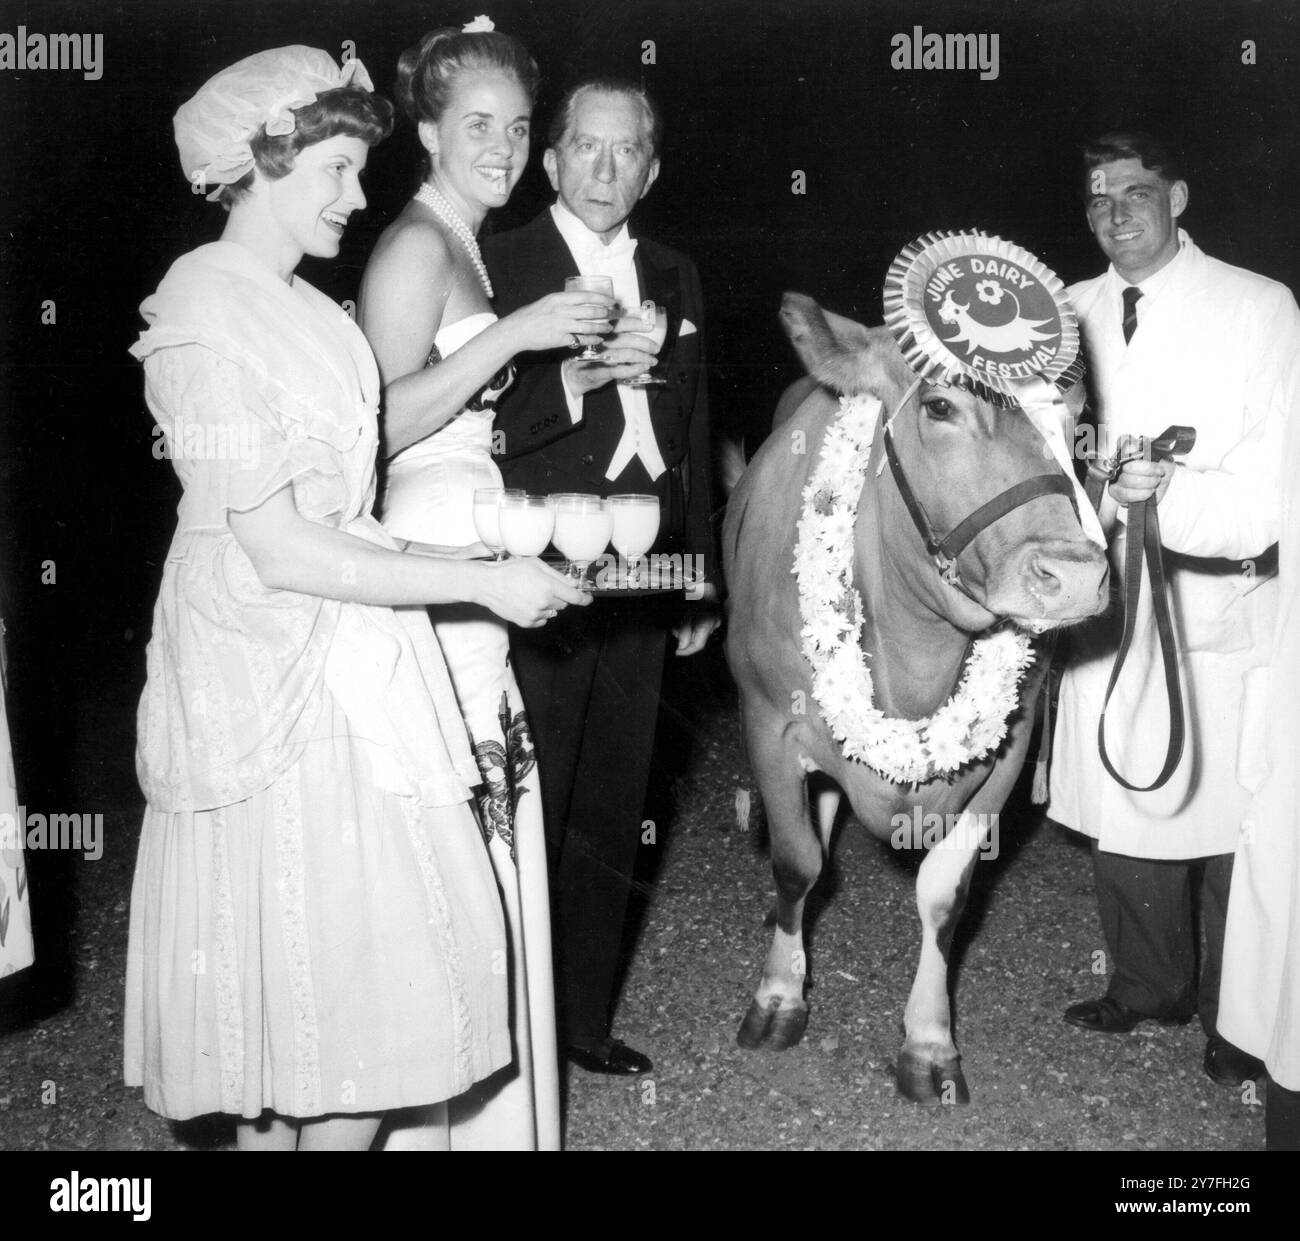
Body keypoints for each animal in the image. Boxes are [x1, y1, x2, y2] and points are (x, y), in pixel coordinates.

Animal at [722, 281, 1107, 1107]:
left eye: (1072, 420)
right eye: (939, 405)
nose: (1075, 577)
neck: (917, 649)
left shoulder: (1007, 754)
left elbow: (943, 893)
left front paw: (929, 1041)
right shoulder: (766, 720)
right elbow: (795, 862)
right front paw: (779, 993)